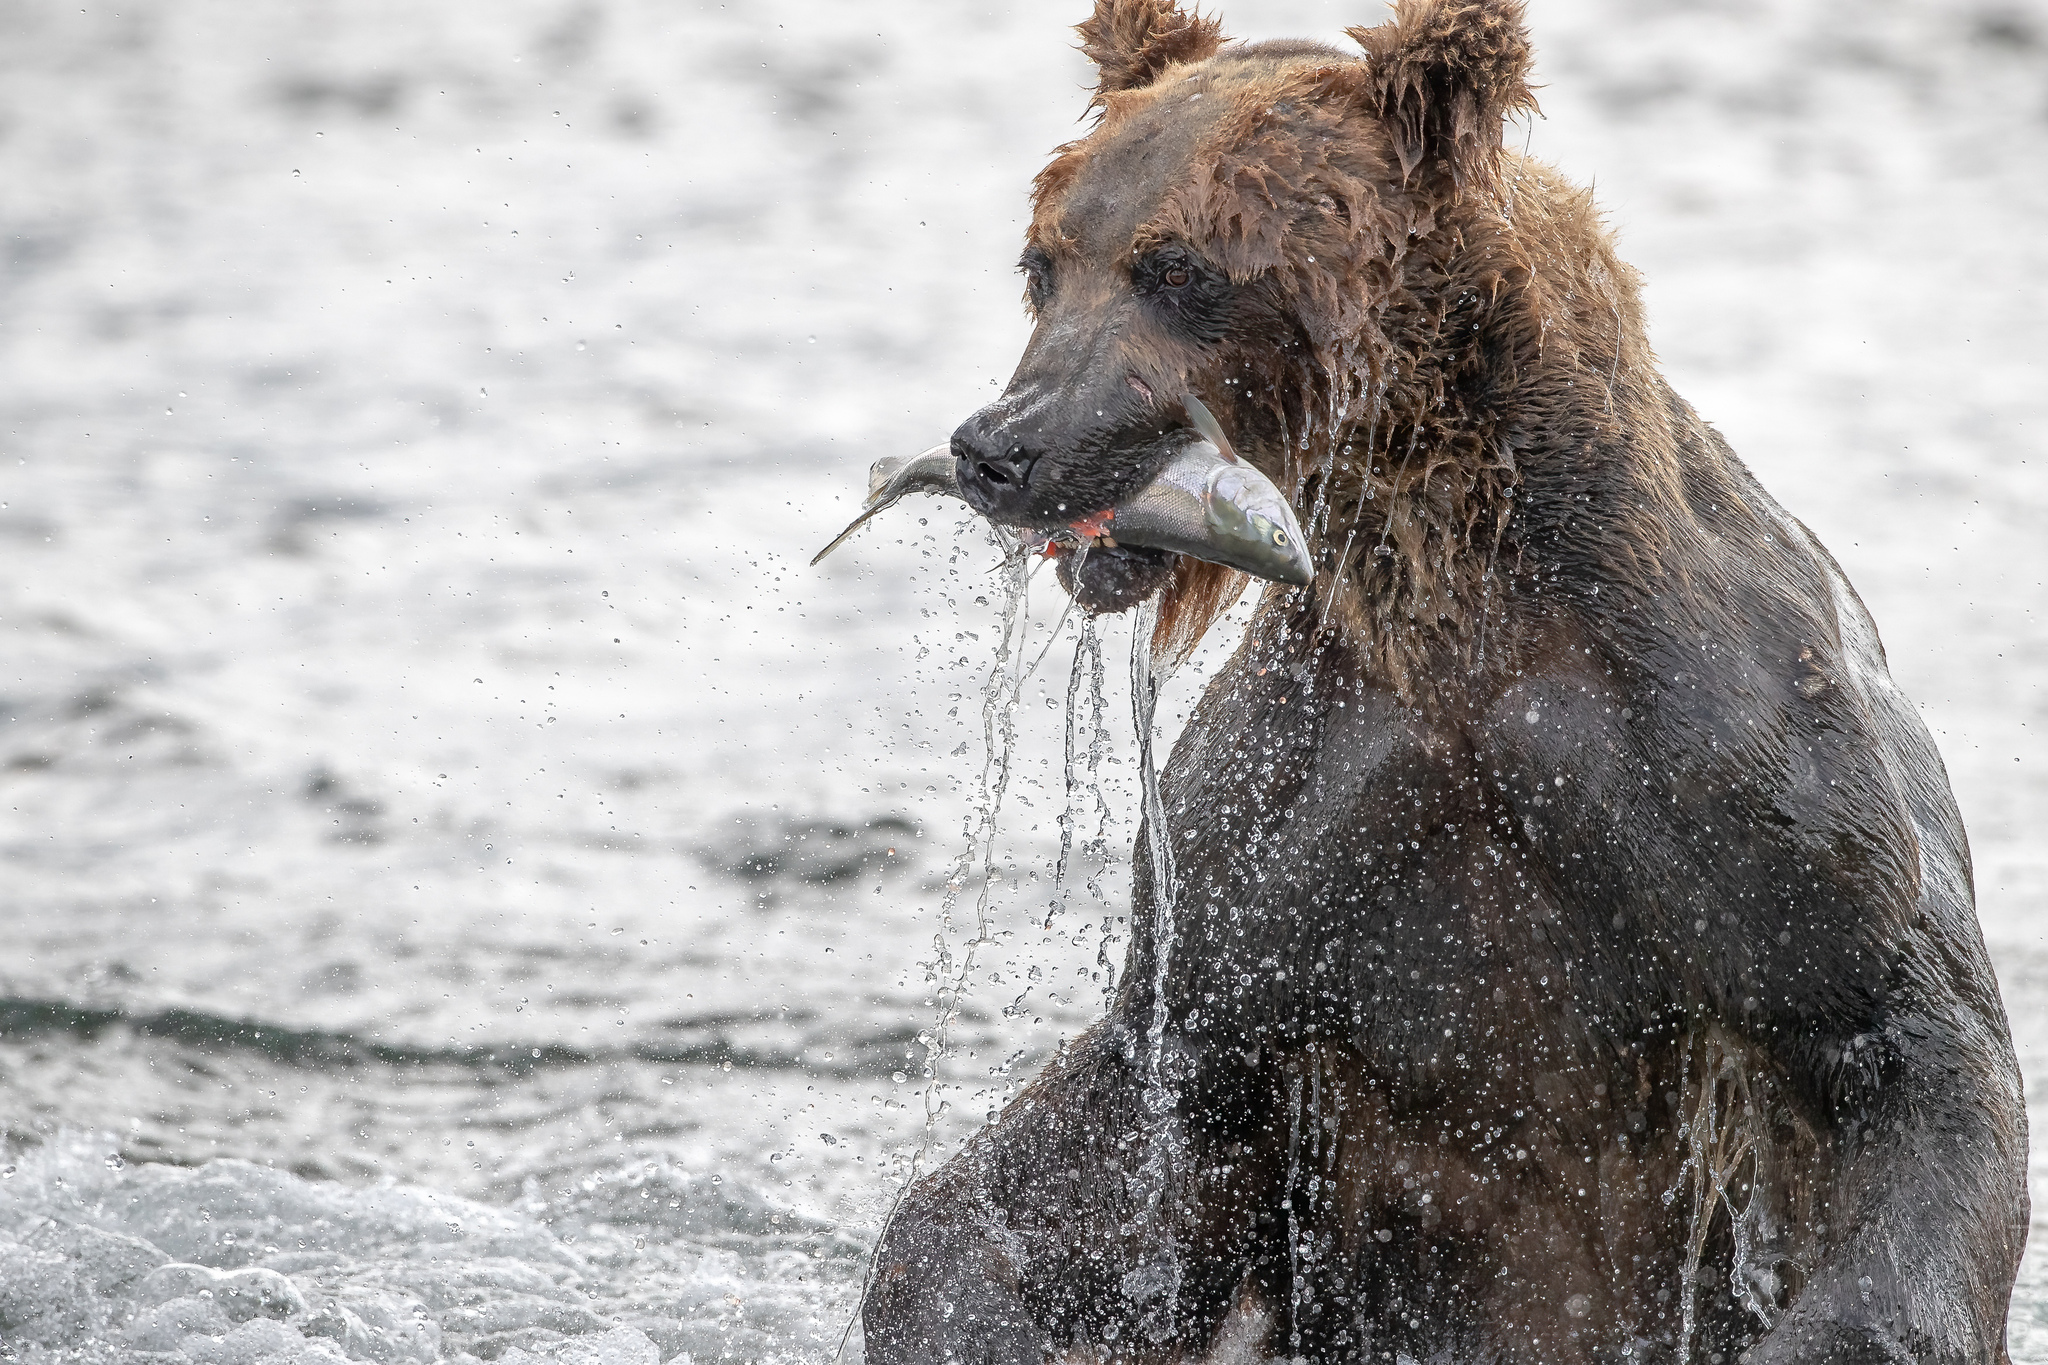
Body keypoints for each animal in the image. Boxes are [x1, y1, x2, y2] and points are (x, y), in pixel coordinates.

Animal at [856, 2, 2023, 1365]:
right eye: (1043, 264)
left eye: (1181, 268)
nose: (999, 445)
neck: (1453, 596)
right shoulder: (1276, 851)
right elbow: (1110, 1136)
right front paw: (965, 1292)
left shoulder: (1740, 779)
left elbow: (1904, 1050)